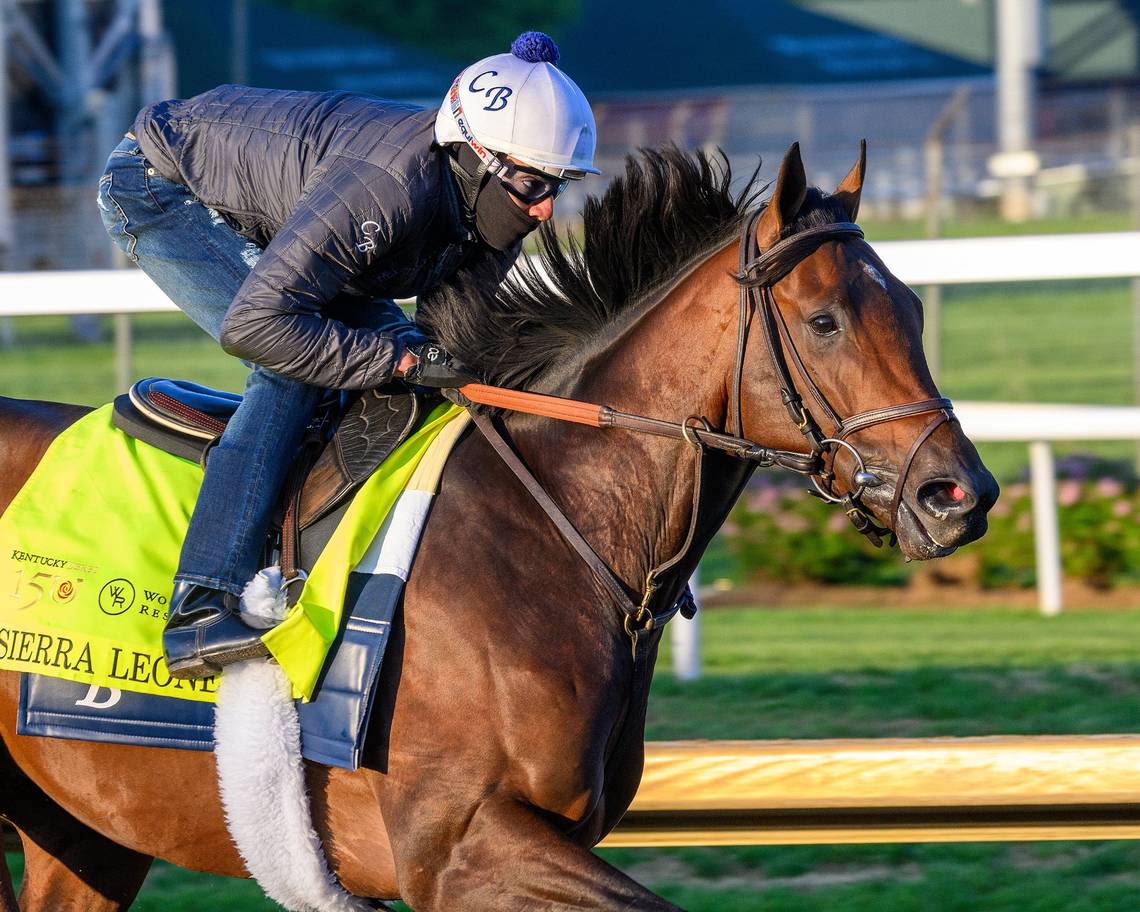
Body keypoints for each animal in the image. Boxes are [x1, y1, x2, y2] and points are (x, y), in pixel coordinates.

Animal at [0, 142, 998, 902]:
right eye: (825, 320)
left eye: (912, 307)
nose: (960, 494)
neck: (555, 526)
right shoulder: (460, 846)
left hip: (81, 832)